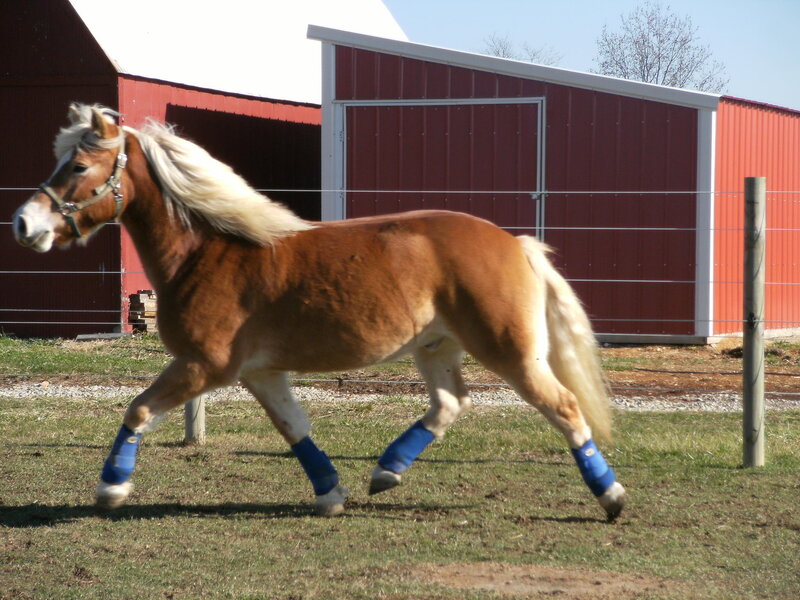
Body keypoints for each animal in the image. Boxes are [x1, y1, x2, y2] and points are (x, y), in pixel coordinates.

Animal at [12, 104, 627, 520]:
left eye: (78, 165)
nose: (24, 223)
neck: (208, 251)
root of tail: (515, 242)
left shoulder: (204, 367)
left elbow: (138, 410)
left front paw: (111, 489)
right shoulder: (260, 372)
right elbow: (295, 427)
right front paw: (331, 492)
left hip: (510, 350)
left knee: (565, 407)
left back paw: (611, 496)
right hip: (436, 347)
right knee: (451, 404)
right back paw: (386, 472)